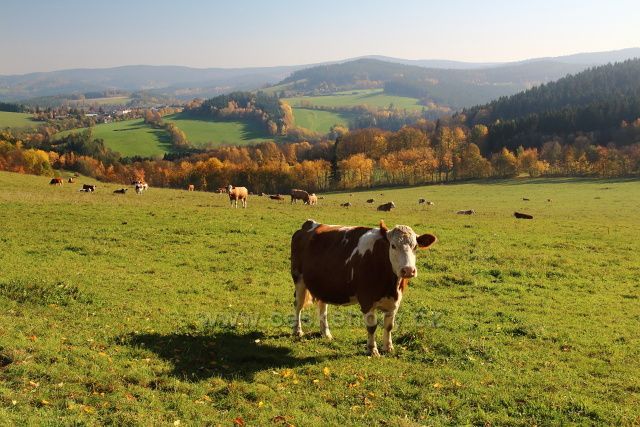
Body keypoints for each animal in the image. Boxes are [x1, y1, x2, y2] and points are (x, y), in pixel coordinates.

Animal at [292, 219, 438, 356]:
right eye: (393, 246)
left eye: (415, 247)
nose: (408, 270)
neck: (390, 285)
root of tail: (309, 224)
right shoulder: (366, 300)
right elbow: (372, 327)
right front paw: (372, 350)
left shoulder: (395, 302)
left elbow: (389, 326)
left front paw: (388, 347)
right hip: (298, 279)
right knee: (298, 305)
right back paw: (297, 330)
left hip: (324, 285)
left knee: (323, 307)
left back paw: (325, 333)